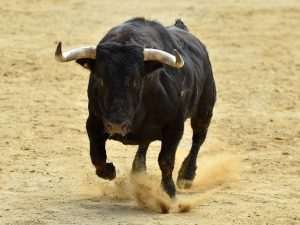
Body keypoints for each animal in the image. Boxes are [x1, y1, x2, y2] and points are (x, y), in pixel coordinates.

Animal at [55, 18, 216, 198]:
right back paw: (137, 173)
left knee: (198, 138)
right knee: (144, 143)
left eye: (136, 80)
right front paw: (110, 170)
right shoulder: (93, 122)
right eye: (101, 79)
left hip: (205, 109)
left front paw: (168, 194)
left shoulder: (174, 127)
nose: (116, 126)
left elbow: (166, 160)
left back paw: (186, 177)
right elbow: (97, 155)